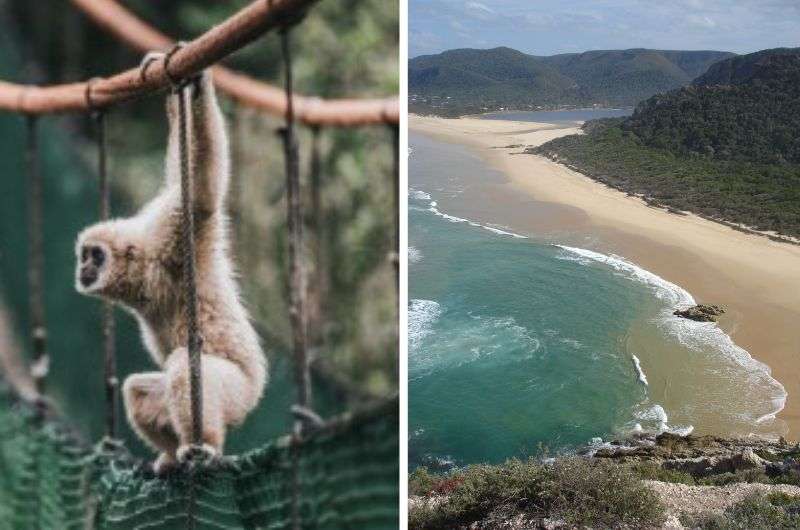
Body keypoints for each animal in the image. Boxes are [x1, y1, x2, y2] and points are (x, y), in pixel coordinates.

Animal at [74, 62, 266, 470]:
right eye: (83, 255)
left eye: (95, 255)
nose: (83, 268)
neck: (146, 272)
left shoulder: (172, 236)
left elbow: (201, 195)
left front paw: (198, 84)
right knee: (138, 388)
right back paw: (171, 456)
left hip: (236, 391)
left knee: (181, 367)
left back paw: (206, 446)